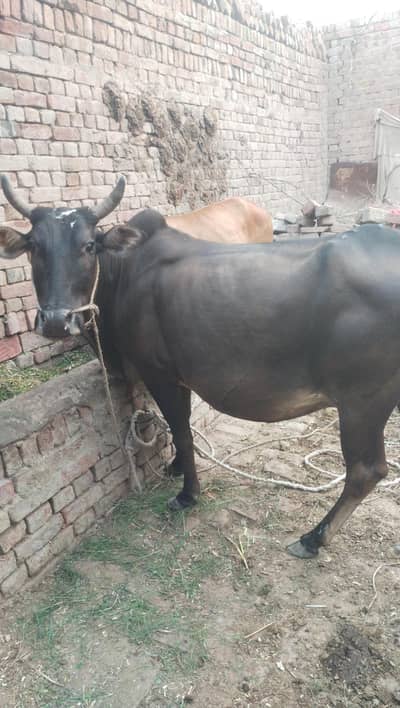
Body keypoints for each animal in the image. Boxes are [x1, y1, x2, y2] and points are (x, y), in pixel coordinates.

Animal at [1, 174, 399, 560]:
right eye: (34, 246)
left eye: (88, 246)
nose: (56, 321)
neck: (123, 274)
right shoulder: (179, 375)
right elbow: (182, 426)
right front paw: (177, 466)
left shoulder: (159, 372)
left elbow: (181, 430)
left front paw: (187, 493)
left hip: (362, 402)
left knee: (366, 470)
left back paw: (313, 538)